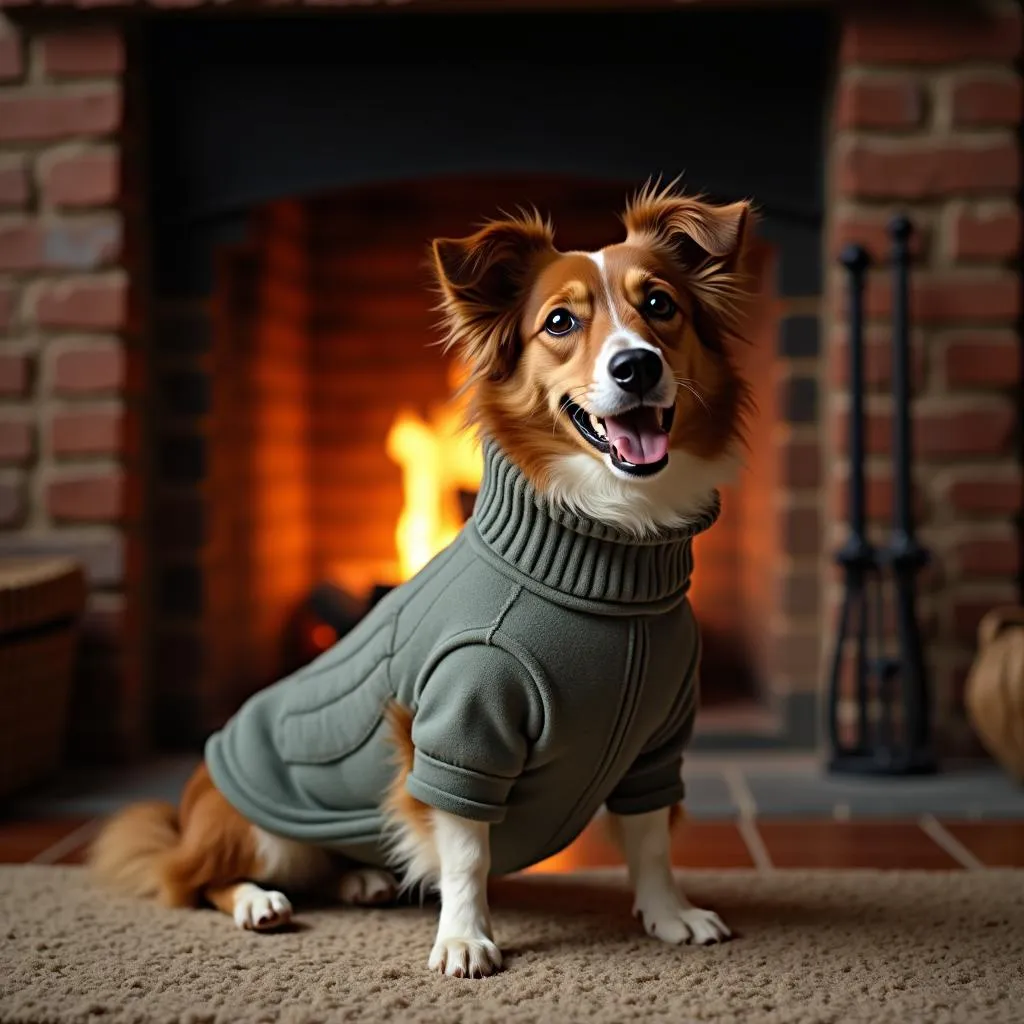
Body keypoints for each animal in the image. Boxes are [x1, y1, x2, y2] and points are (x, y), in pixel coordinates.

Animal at [92, 182, 757, 974]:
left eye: (659, 305)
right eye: (560, 322)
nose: (637, 368)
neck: (608, 550)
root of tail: (188, 810)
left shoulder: (657, 741)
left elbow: (652, 838)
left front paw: (668, 913)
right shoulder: (458, 733)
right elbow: (467, 854)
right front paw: (465, 936)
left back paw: (364, 878)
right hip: (260, 833)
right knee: (193, 881)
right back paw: (258, 900)